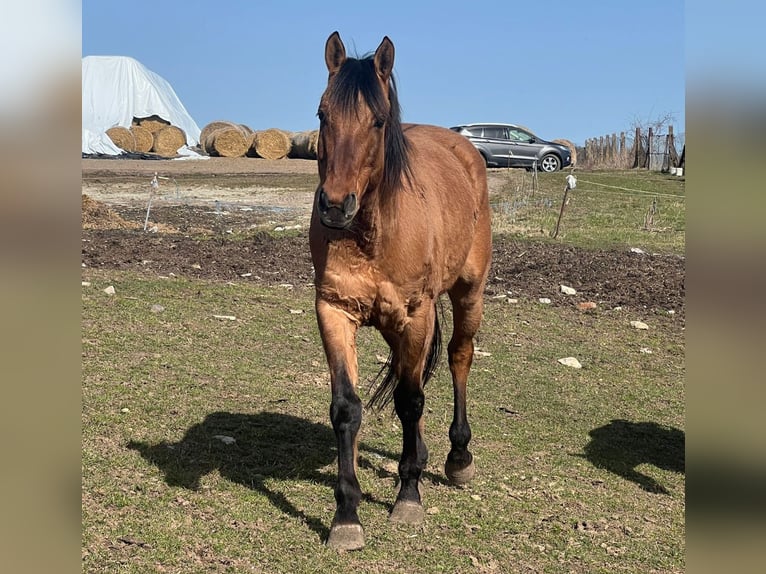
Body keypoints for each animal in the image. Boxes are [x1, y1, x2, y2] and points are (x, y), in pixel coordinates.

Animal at [309, 31, 492, 551]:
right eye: (322, 114)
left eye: (377, 120)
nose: (334, 206)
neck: (372, 232)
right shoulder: (334, 311)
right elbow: (346, 407)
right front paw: (346, 514)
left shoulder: (416, 314)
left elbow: (410, 401)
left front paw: (408, 496)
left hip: (468, 294)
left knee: (458, 358)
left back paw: (457, 458)